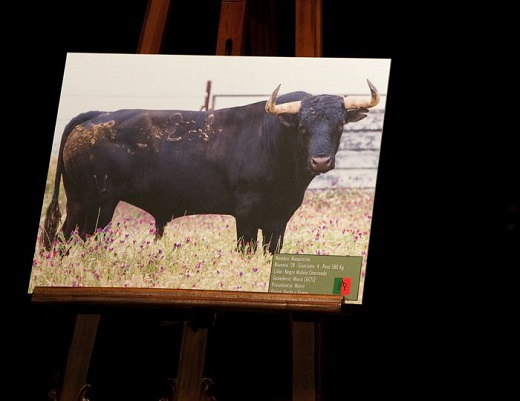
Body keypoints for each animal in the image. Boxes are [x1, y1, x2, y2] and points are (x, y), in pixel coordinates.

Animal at [40, 79, 380, 253]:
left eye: (339, 125)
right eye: (302, 127)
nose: (321, 160)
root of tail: (97, 115)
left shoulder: (278, 218)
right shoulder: (247, 213)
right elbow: (246, 249)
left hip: (97, 206)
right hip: (87, 202)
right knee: (66, 237)